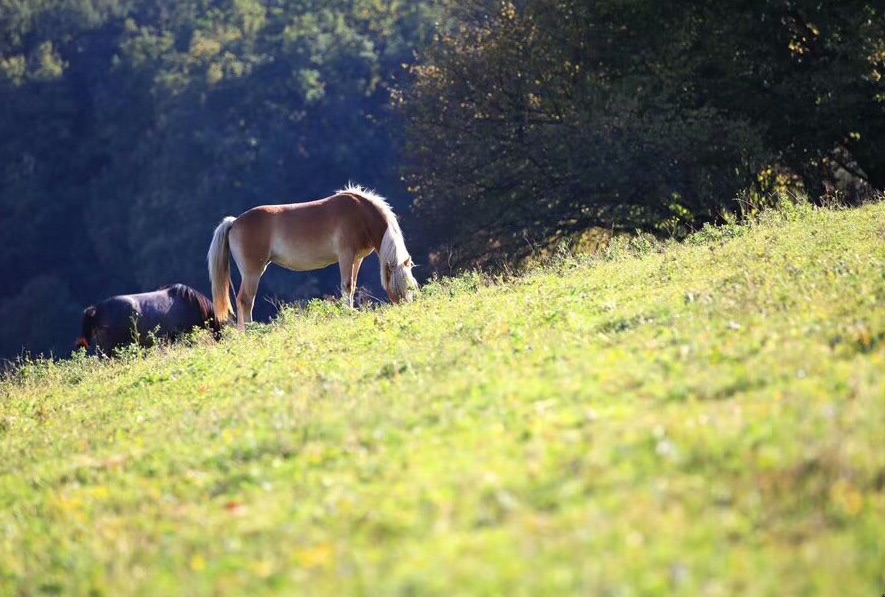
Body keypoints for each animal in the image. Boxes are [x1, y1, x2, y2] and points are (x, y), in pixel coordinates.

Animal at [208, 184, 418, 328]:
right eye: (397, 286)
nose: (404, 308)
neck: (360, 214)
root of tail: (235, 221)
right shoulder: (346, 255)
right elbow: (347, 286)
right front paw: (348, 313)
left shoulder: (357, 258)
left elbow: (352, 286)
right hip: (253, 272)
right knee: (245, 300)